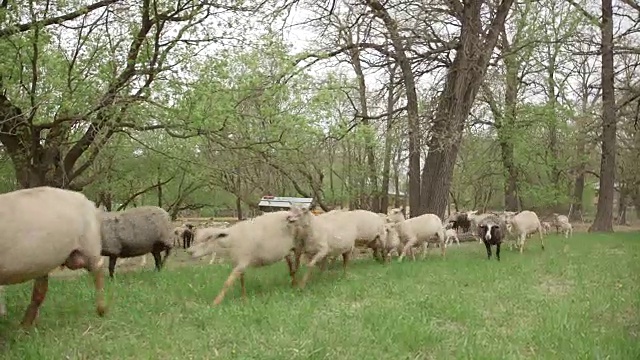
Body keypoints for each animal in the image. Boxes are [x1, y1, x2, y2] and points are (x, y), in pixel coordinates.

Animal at [0, 187, 106, 328]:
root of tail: (89, 202)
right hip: (44, 262)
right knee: (40, 291)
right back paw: (25, 325)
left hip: (89, 243)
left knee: (98, 268)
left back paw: (101, 310)